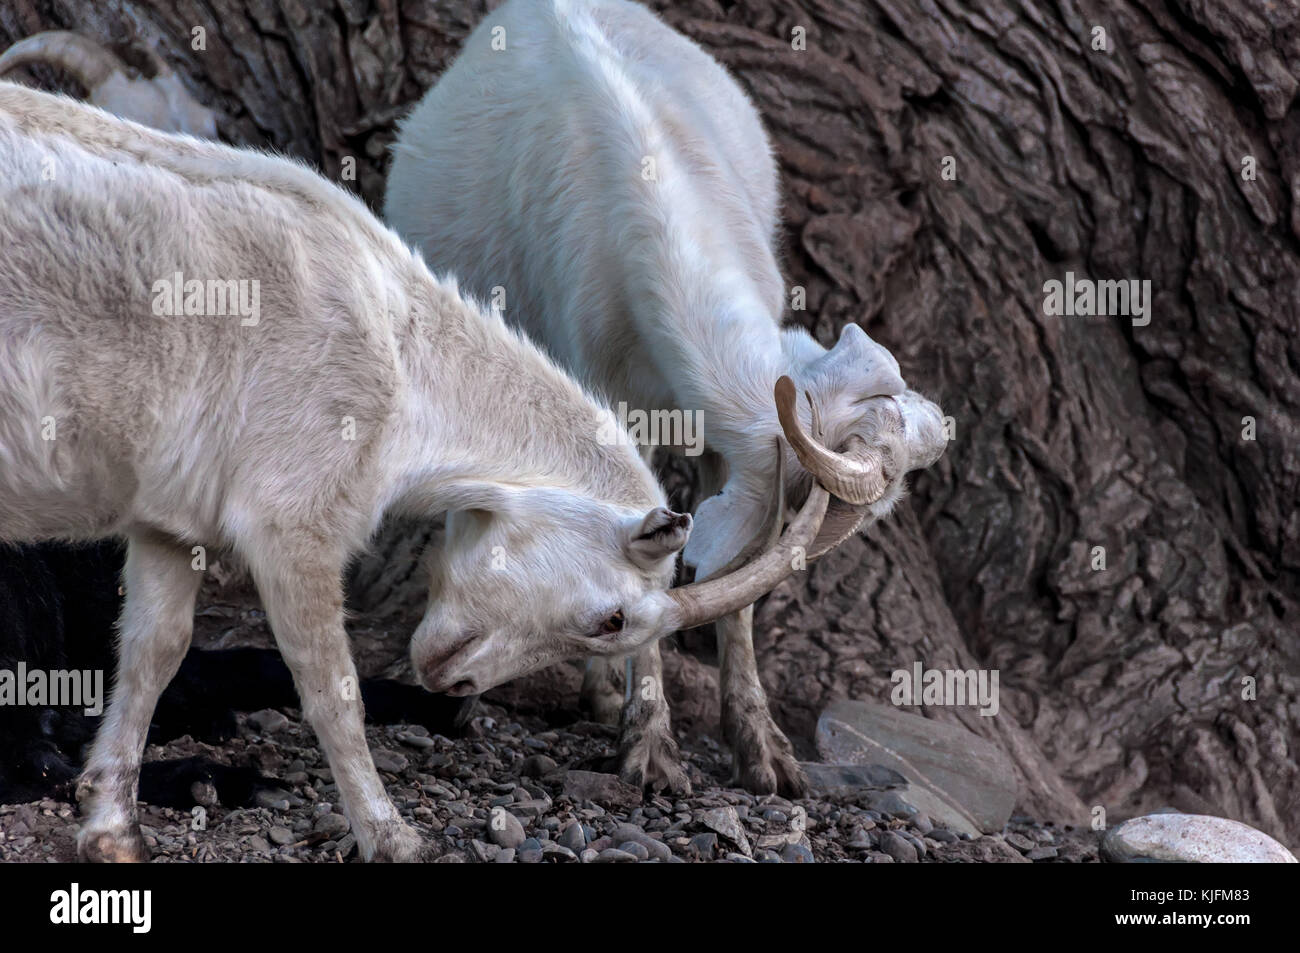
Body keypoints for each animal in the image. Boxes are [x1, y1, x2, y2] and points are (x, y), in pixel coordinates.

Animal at [0, 78, 826, 858]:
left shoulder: (170, 523)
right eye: (611, 619)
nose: (453, 682)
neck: (401, 356)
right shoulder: (292, 521)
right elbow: (330, 687)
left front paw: (112, 829)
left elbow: (153, 651)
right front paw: (389, 834)